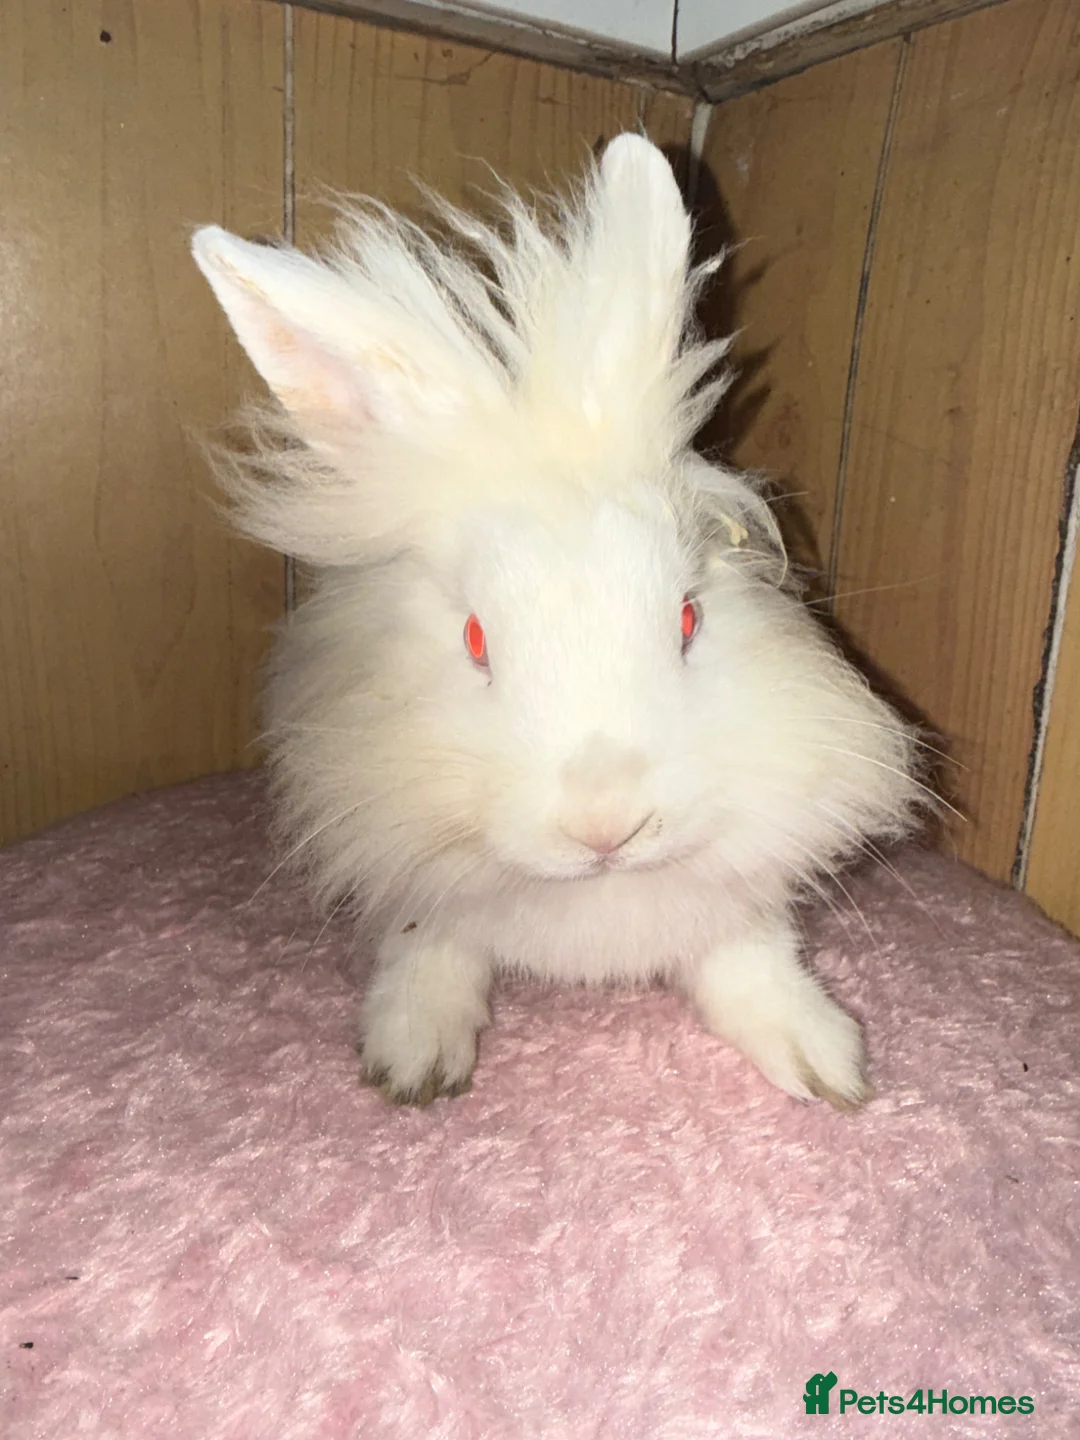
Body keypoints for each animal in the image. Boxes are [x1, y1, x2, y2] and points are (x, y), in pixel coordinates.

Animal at [191, 133, 923, 1111]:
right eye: (474, 640)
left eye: (688, 617)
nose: (607, 825)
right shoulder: (416, 878)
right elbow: (432, 951)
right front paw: (414, 1063)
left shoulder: (736, 895)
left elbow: (748, 964)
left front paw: (825, 1065)